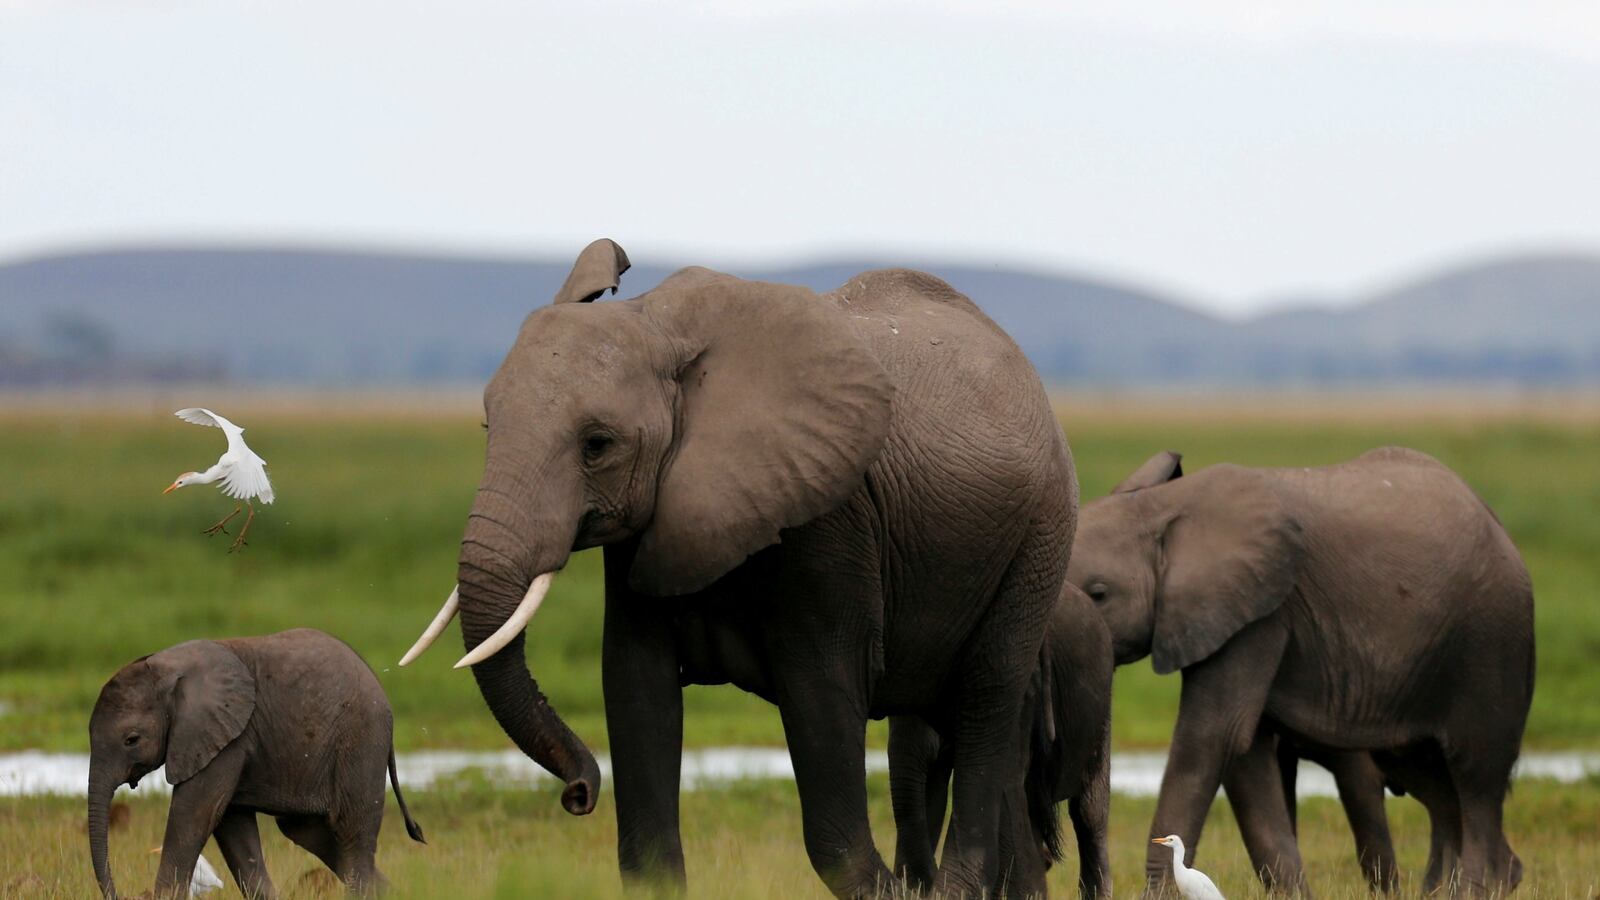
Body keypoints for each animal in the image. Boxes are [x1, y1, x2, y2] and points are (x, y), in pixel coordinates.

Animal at [88, 629, 424, 899]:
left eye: (132, 740)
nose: (119, 894)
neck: (168, 667)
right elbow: (232, 827)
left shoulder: (226, 737)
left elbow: (194, 814)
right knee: (310, 833)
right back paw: (393, 892)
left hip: (361, 739)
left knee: (352, 833)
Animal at [398, 239, 1078, 897]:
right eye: (487, 426)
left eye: (597, 446)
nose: (579, 794)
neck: (657, 322)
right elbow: (635, 686)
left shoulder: (830, 518)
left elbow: (821, 694)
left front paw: (889, 888)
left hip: (1038, 540)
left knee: (987, 700)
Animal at [1065, 448, 1533, 896]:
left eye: (1099, 593)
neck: (1162, 506)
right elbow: (1245, 753)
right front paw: (1292, 893)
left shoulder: (1262, 612)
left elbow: (1212, 737)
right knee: (1434, 782)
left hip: (1490, 643)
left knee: (1476, 774)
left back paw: (1474, 889)